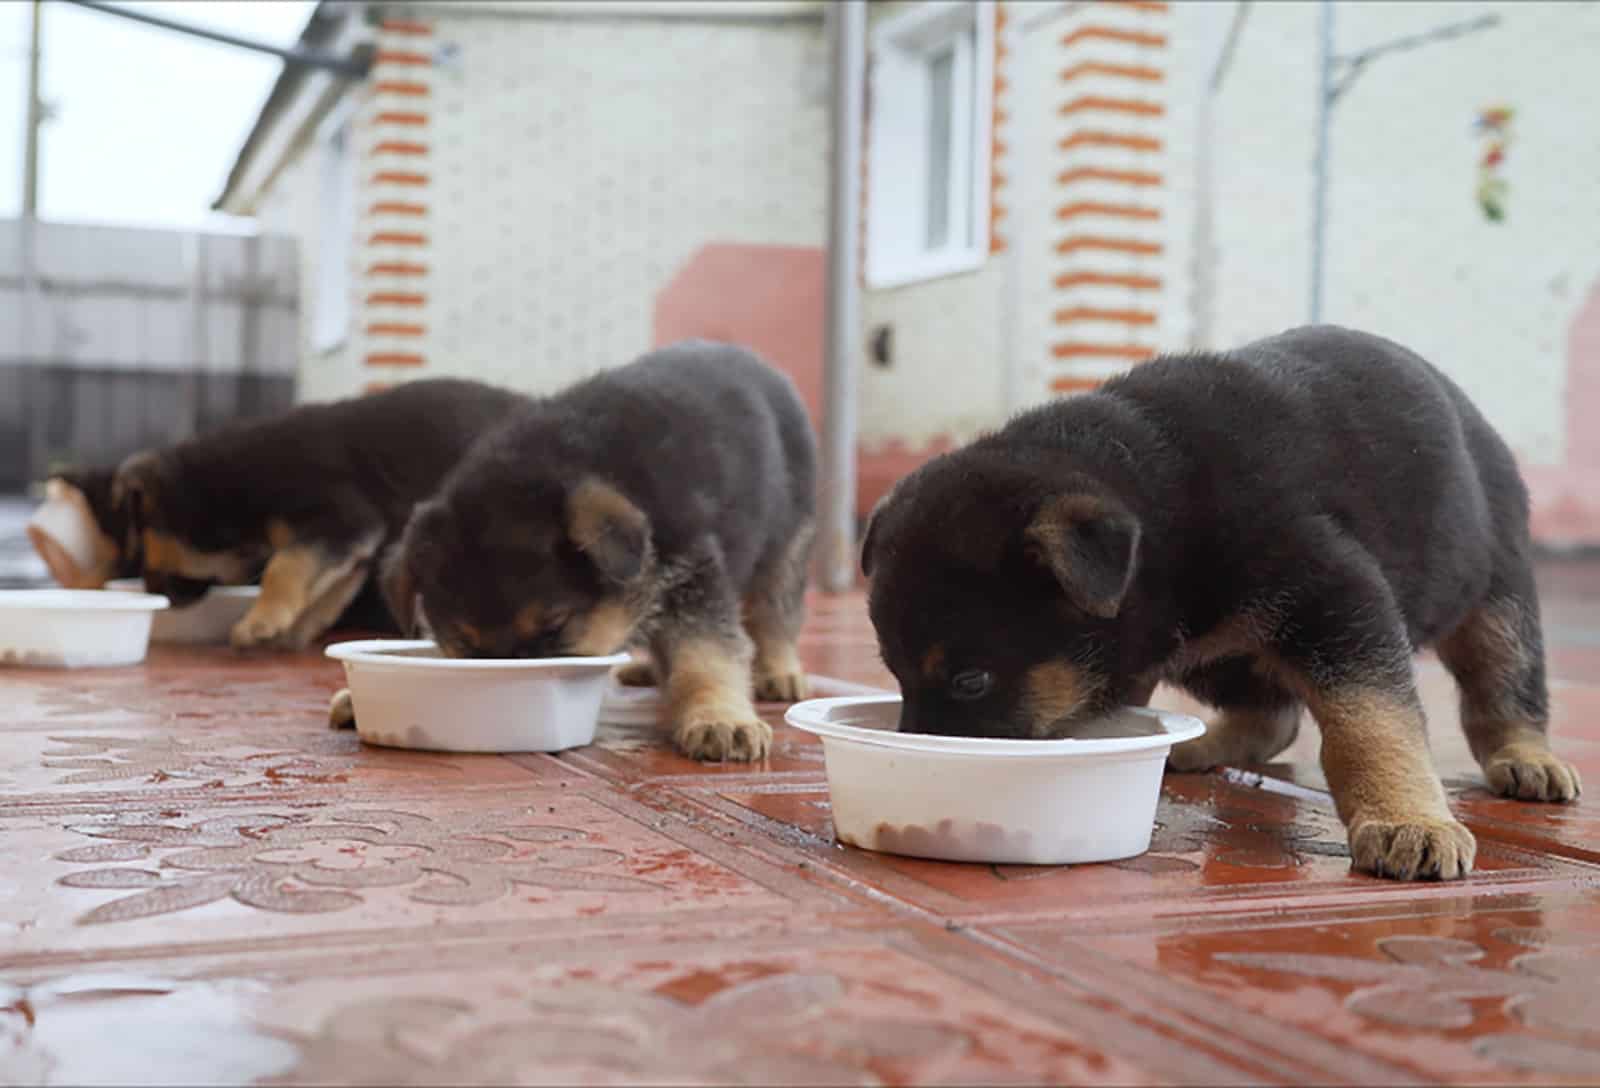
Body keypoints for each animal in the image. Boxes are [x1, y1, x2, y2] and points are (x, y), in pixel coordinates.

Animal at [112, 377, 524, 649]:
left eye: (147, 557)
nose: (155, 596)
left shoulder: (341, 522)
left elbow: (283, 565)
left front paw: (261, 619)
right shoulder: (353, 550)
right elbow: (327, 594)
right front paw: (290, 631)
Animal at [380, 344, 819, 761]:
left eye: (556, 627)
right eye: (463, 644)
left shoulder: (695, 577)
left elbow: (707, 655)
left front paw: (719, 718)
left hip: (788, 542)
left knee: (775, 613)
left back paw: (779, 672)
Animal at [864, 324, 1574, 883]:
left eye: (971, 680)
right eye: (895, 673)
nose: (915, 765)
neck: (1158, 506)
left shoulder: (1338, 597)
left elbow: (1371, 721)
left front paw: (1406, 819)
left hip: (1498, 595)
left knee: (1503, 685)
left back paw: (1527, 758)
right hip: (1215, 654)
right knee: (1272, 715)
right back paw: (1205, 744)